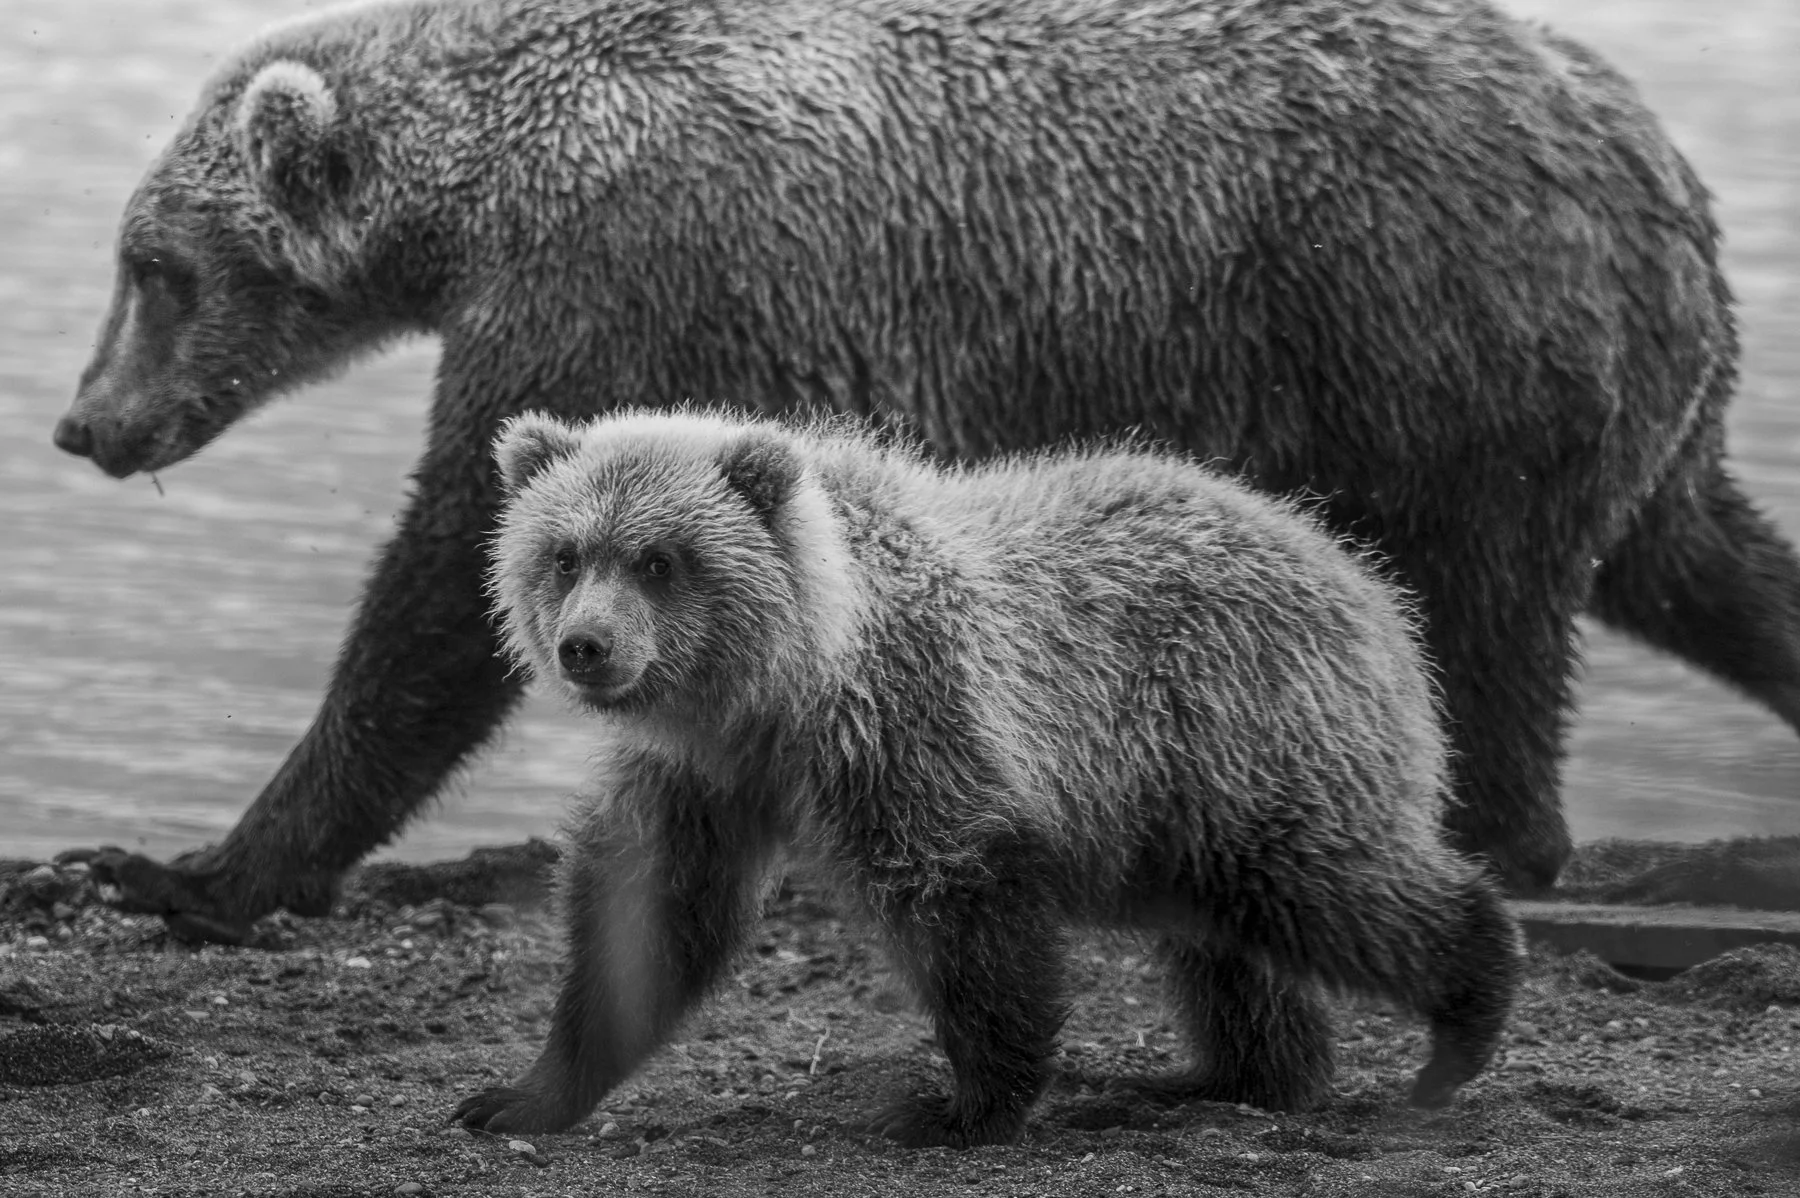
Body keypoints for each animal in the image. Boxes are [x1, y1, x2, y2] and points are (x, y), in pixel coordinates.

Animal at [52, 0, 1799, 1067]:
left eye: (154, 265)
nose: (84, 425)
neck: (492, 183)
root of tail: (1657, 156)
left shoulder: (641, 278)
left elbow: (443, 593)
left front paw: (194, 866)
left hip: (1427, 328)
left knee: (1489, 603)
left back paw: (1500, 833)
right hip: (1609, 400)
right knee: (1694, 561)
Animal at [450, 408, 1522, 1144]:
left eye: (660, 559)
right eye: (565, 553)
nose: (587, 645)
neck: (780, 686)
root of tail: (1361, 576)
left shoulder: (907, 729)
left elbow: (960, 900)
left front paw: (956, 1107)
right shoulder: (702, 776)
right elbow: (648, 915)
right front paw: (519, 1094)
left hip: (1239, 730)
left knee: (1323, 884)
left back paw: (1463, 1018)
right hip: (1184, 801)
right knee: (1230, 944)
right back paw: (1234, 1076)